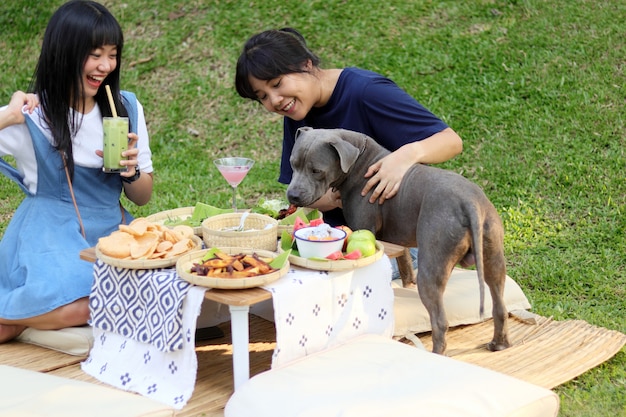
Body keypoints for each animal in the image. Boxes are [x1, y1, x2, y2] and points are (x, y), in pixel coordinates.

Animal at [286, 127, 510, 354]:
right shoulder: (400, 241)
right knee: (499, 305)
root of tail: (469, 202)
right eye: (292, 163)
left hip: (433, 264)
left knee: (440, 321)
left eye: (316, 170)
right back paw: (498, 344)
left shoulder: (365, 227)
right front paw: (407, 284)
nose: (292, 195)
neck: (359, 161)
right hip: (493, 257)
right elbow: (405, 263)